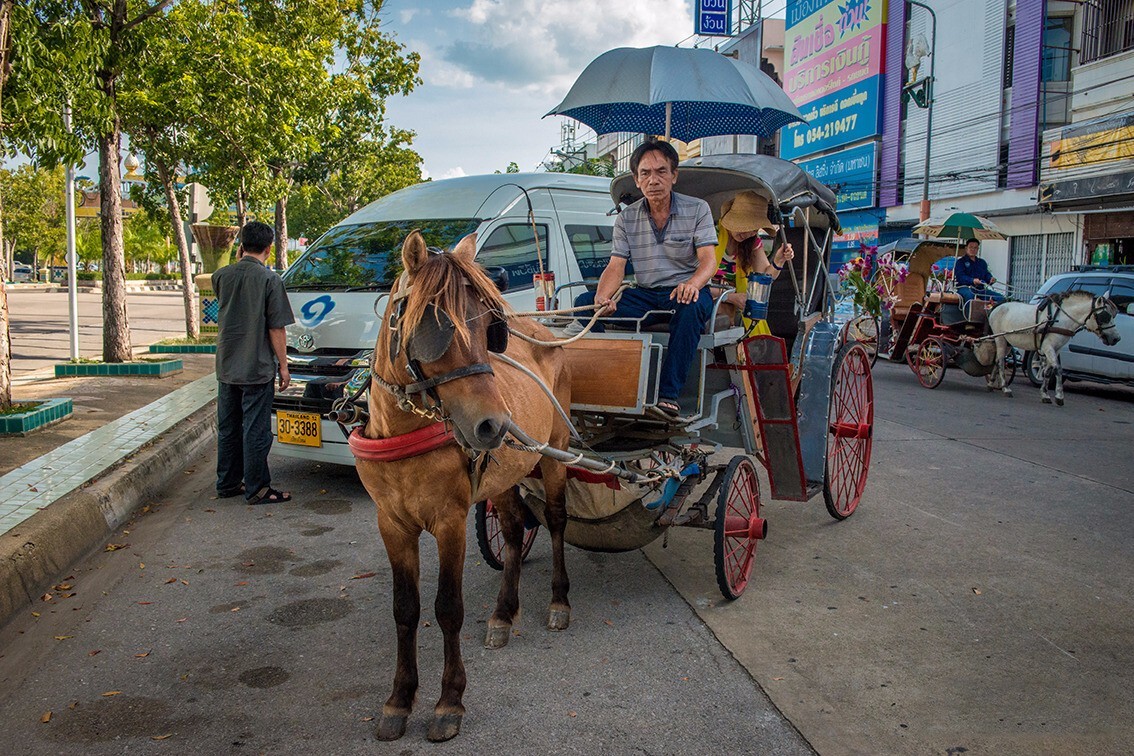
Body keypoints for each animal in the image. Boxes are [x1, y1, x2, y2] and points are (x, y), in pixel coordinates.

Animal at [353, 228, 571, 738]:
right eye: (436, 327)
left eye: (491, 328)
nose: (494, 425)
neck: (404, 430)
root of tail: (548, 335)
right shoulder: (391, 524)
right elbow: (405, 608)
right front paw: (399, 699)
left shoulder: (449, 522)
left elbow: (447, 607)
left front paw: (449, 701)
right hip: (505, 477)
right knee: (511, 533)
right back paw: (503, 613)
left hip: (554, 456)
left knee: (554, 522)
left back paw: (558, 601)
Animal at [988, 292, 1120, 408]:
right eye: (1105, 316)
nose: (1116, 338)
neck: (1061, 320)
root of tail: (998, 306)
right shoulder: (1048, 347)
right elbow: (1058, 369)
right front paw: (1059, 396)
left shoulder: (1056, 349)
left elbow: (1047, 371)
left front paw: (1045, 394)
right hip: (1000, 338)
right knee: (1001, 362)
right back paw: (1005, 388)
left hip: (1008, 342)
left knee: (997, 360)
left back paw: (991, 383)